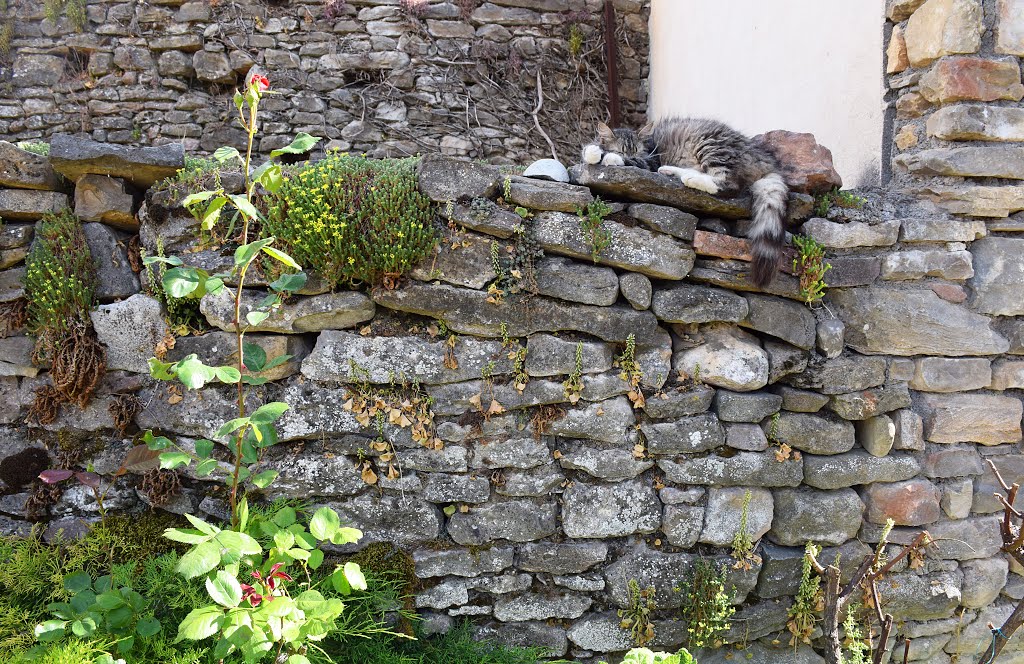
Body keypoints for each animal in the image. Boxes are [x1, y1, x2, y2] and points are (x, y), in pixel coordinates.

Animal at [581, 117, 786, 286]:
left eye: (636, 153)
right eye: (622, 150)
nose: (628, 156)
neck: (650, 146)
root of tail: (762, 156)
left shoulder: (650, 162)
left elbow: (629, 161)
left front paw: (610, 157)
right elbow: (587, 152)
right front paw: (594, 152)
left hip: (711, 145)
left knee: (729, 184)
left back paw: (690, 179)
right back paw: (672, 171)